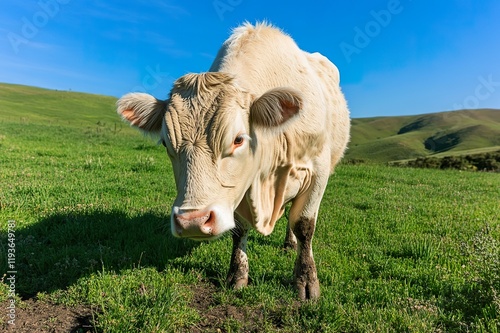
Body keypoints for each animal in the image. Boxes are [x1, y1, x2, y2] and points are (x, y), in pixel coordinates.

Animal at [117, 22, 352, 298]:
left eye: (238, 139)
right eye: (165, 142)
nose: (192, 222)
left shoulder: (318, 171)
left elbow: (303, 225)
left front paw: (306, 280)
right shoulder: (236, 189)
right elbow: (239, 230)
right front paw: (237, 274)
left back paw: (290, 244)